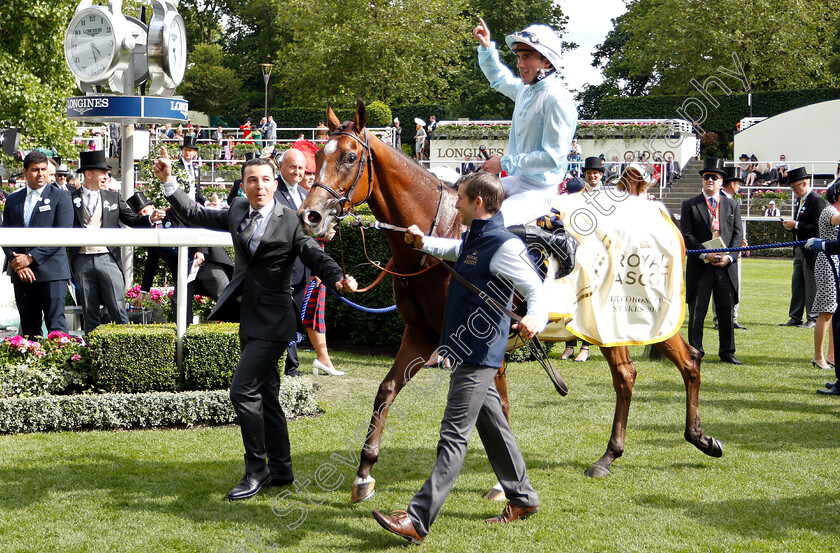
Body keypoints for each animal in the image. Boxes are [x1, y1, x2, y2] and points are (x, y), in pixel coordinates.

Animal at [296, 98, 720, 500]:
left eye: (350, 157)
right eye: (318, 156)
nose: (310, 216)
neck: (445, 237)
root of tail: (661, 217)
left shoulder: (485, 339)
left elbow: (498, 405)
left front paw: (503, 483)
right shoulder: (420, 333)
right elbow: (386, 391)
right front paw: (364, 472)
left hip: (637, 316)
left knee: (675, 364)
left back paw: (693, 438)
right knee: (637, 373)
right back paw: (626, 452)